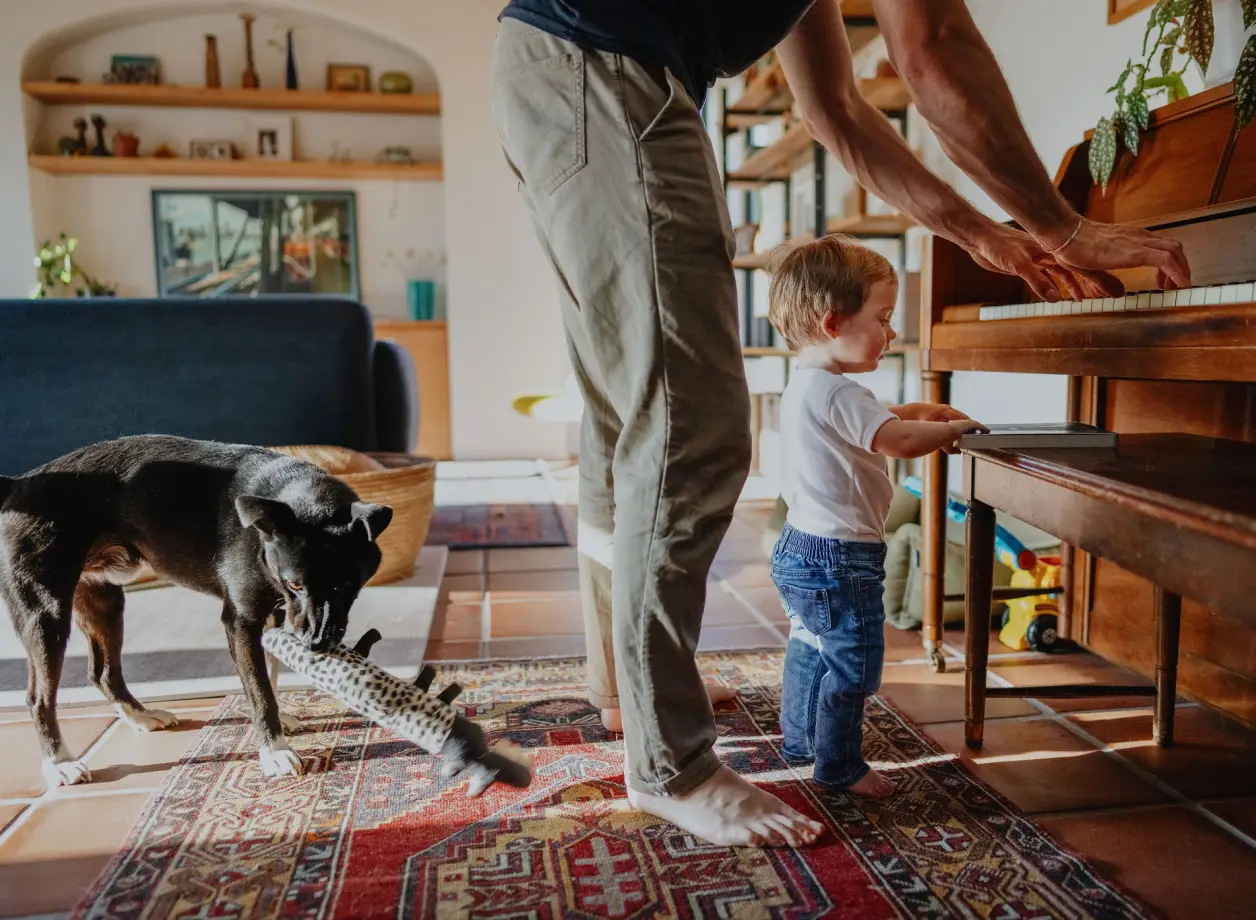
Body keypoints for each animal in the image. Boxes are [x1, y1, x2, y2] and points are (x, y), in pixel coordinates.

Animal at [0, 434, 391, 789]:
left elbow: (269, 677)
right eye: (294, 583)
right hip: (46, 614)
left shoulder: (274, 617)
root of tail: (18, 484)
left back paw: (140, 716)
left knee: (103, 673)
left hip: (104, 601)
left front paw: (281, 722)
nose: (315, 644)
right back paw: (60, 763)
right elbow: (260, 690)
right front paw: (275, 751)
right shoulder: (241, 622)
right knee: (38, 698)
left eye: (347, 585)